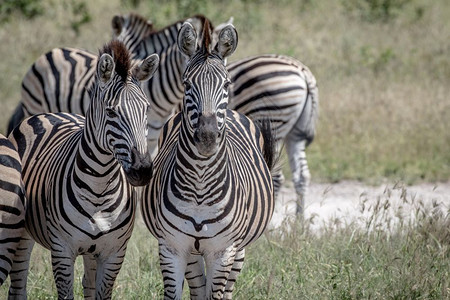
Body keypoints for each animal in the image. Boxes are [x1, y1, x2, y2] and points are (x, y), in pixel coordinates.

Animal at [6, 40, 158, 300]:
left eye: (146, 109)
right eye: (111, 112)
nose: (143, 170)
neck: (100, 188)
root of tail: (50, 113)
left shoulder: (114, 253)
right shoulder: (62, 251)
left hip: (92, 251)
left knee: (87, 283)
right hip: (22, 233)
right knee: (17, 285)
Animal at [142, 21, 274, 300]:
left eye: (226, 84)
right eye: (186, 84)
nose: (207, 137)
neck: (200, 184)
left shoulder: (223, 251)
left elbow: (217, 294)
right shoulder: (171, 248)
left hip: (238, 249)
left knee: (226, 290)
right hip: (193, 252)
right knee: (197, 288)